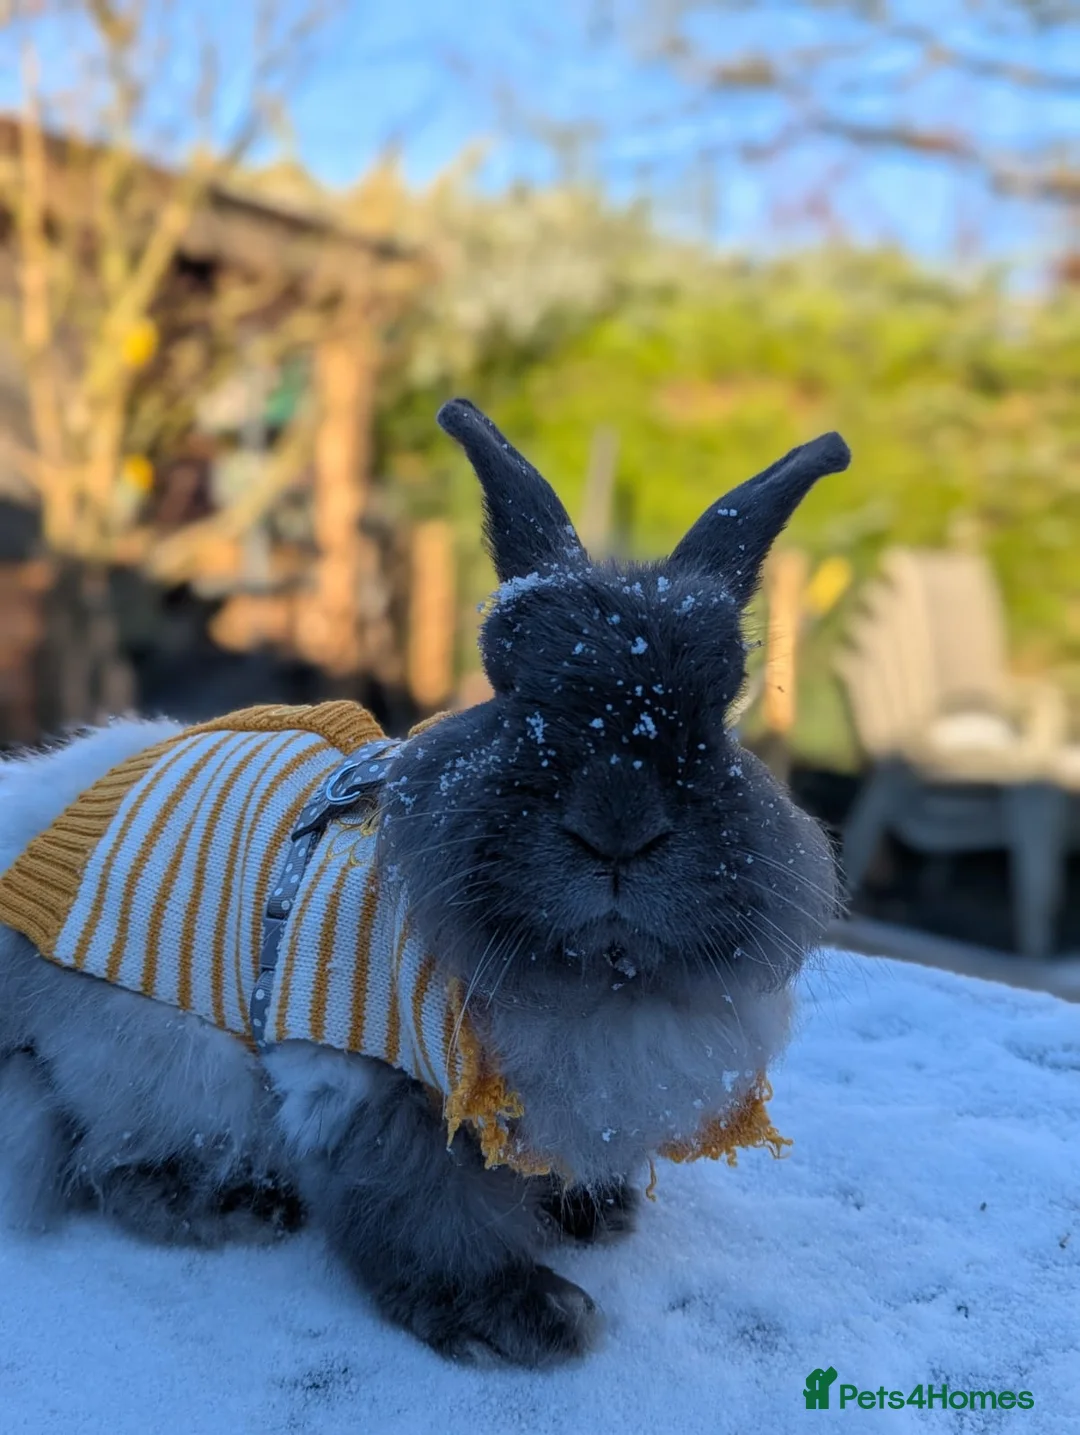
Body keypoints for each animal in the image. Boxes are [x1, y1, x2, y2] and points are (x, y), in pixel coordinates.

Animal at [0, 398, 849, 1367]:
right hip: (172, 1067)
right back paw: (243, 1206)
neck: (593, 975)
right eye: (513, 689)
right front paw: (526, 1316)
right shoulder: (366, 1084)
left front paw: (595, 1211)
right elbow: (423, 1213)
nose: (618, 827)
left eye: (720, 704)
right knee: (114, 1169)